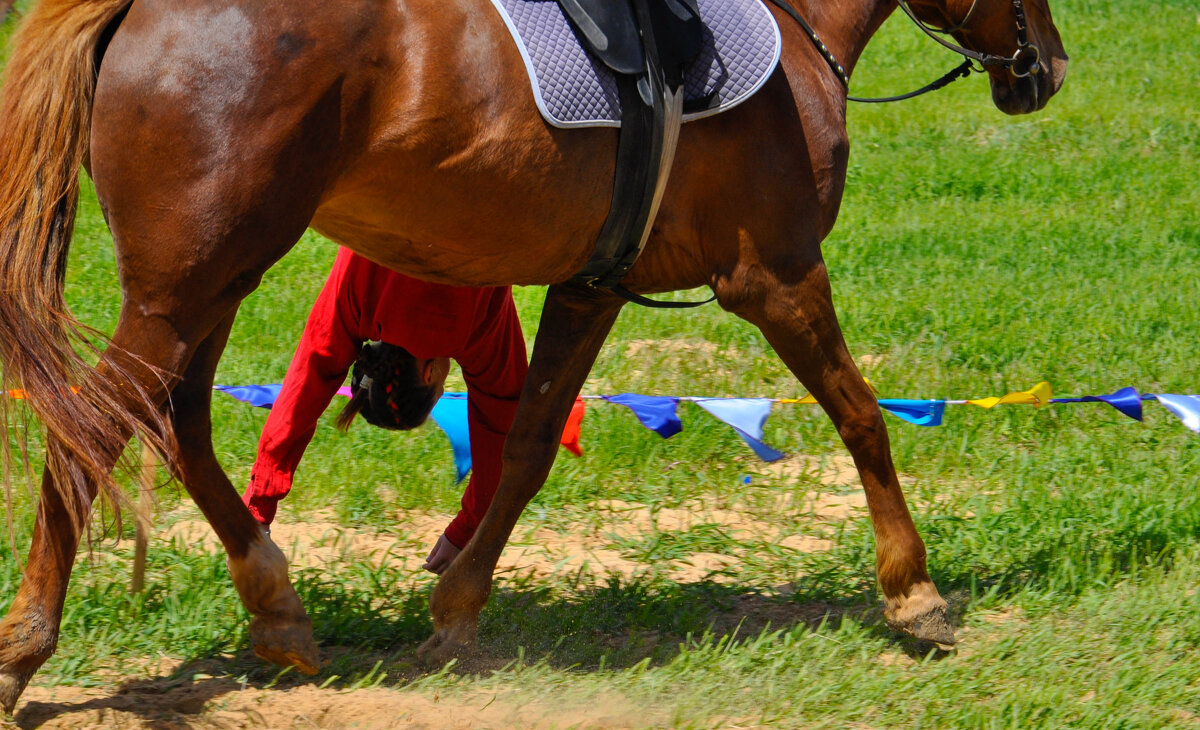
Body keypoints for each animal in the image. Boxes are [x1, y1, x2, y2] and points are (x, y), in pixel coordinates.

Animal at [0, 0, 1070, 710]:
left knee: (172, 416)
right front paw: (914, 592)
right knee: (95, 425)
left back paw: (276, 606)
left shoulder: (592, 287)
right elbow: (860, 415)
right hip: (192, 284)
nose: (1048, 68)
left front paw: (457, 615)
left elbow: (524, 450)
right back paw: (26, 651)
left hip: (214, 280)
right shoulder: (777, 276)